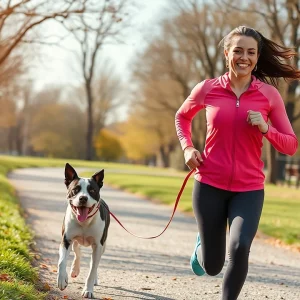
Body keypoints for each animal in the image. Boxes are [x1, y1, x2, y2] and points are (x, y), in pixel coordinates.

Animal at [56, 163, 109, 298]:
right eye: (75, 189)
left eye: (92, 190)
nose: (83, 198)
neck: (85, 222)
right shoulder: (66, 240)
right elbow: (62, 262)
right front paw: (62, 280)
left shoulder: (98, 245)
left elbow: (92, 270)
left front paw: (88, 290)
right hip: (75, 240)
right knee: (77, 251)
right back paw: (74, 269)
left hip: (102, 246)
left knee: (93, 263)